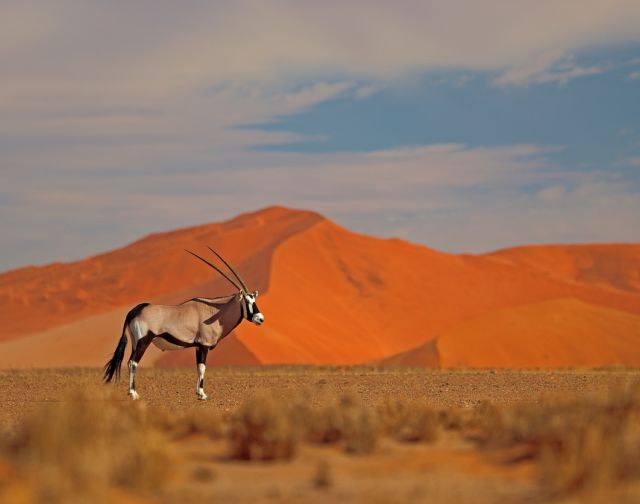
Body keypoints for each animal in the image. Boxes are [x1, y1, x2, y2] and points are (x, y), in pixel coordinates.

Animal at [104, 246, 264, 400]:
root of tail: (134, 311)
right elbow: (203, 367)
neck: (215, 311)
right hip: (143, 341)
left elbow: (198, 367)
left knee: (129, 362)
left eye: (254, 300)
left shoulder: (198, 346)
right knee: (133, 362)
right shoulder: (204, 345)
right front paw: (202, 395)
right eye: (247, 301)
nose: (260, 319)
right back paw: (134, 393)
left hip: (135, 342)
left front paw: (198, 393)